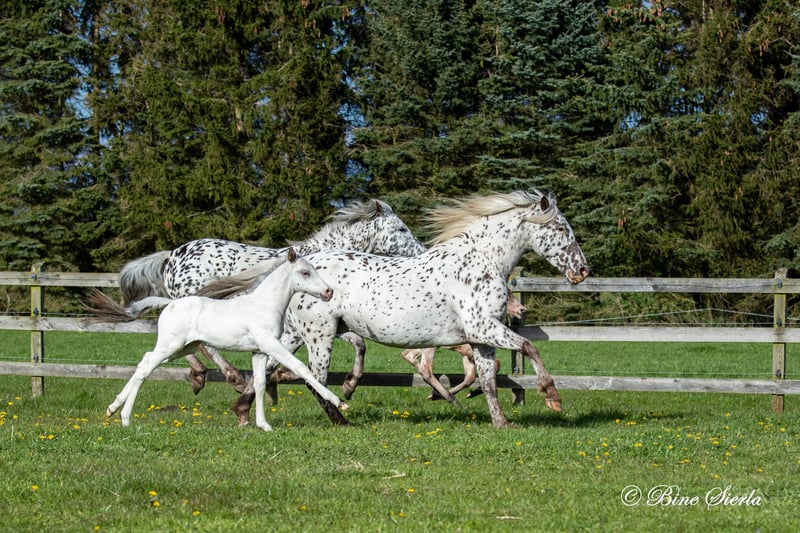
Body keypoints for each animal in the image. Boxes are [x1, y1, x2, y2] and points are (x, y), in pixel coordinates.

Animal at [101, 249, 348, 432]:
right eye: (305, 273)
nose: (328, 292)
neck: (264, 305)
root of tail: (169, 304)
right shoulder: (271, 345)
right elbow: (301, 368)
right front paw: (340, 402)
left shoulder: (258, 352)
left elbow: (260, 384)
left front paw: (263, 425)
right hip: (170, 347)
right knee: (144, 370)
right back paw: (125, 418)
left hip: (180, 349)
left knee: (144, 360)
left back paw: (112, 408)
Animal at [112, 199, 426, 396]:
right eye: (400, 229)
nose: (421, 252)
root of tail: (172, 256)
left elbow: (359, 344)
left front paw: (348, 384)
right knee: (202, 345)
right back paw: (229, 378)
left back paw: (200, 376)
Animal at [247, 190, 589, 428]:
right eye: (561, 229)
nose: (582, 270)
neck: (481, 260)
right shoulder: (484, 328)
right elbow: (529, 347)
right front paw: (552, 398)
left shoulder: (481, 337)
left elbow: (489, 381)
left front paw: (501, 423)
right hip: (320, 336)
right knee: (312, 379)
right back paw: (342, 418)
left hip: (295, 335)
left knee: (269, 369)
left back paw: (243, 412)